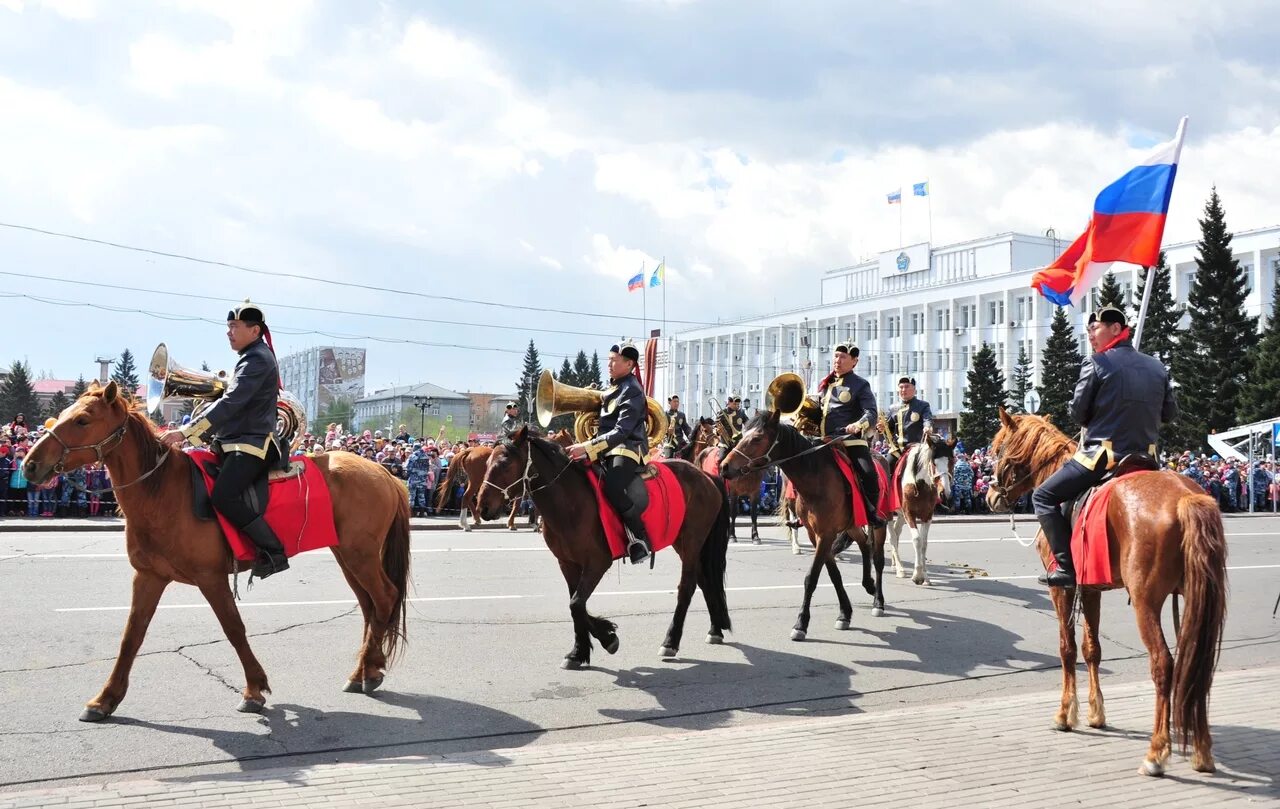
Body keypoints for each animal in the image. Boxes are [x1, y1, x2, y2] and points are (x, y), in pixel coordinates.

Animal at [21, 378, 409, 721]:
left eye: (83, 420)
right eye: (63, 414)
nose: (29, 465)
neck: (162, 491)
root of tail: (386, 473)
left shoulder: (211, 578)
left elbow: (233, 628)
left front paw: (254, 690)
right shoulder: (148, 577)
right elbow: (131, 636)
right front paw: (105, 700)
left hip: (360, 555)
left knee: (385, 598)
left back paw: (367, 673)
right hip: (348, 555)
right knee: (370, 607)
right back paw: (366, 671)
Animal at [476, 430, 732, 670]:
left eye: (505, 463)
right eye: (486, 463)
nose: (482, 507)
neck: (569, 502)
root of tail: (705, 475)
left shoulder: (598, 562)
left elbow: (576, 603)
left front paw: (607, 638)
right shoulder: (567, 563)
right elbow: (576, 604)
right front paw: (579, 651)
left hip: (691, 542)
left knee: (686, 588)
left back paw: (670, 641)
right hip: (686, 543)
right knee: (705, 580)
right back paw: (715, 630)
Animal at [721, 414, 890, 642]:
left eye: (757, 438)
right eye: (743, 434)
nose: (724, 467)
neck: (815, 478)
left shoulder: (826, 535)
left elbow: (811, 578)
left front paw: (801, 623)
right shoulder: (815, 535)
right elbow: (834, 575)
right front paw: (844, 613)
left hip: (881, 523)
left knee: (878, 559)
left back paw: (878, 601)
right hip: (852, 524)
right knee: (865, 545)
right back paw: (868, 584)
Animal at [885, 440, 957, 583]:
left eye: (951, 461)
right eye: (934, 463)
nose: (945, 493)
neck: (921, 484)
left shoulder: (927, 516)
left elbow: (924, 542)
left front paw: (926, 576)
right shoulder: (909, 514)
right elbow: (917, 540)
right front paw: (917, 575)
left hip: (900, 515)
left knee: (896, 533)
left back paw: (895, 564)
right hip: (889, 513)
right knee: (892, 537)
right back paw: (900, 569)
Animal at [983, 407, 1223, 778]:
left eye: (998, 449)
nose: (991, 496)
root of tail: (1186, 496)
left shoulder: (1064, 589)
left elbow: (1067, 649)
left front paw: (1065, 714)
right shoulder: (1091, 587)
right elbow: (1092, 649)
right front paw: (1096, 712)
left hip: (1146, 604)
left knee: (1163, 665)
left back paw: (1157, 752)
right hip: (1198, 601)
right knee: (1196, 665)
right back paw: (1201, 750)